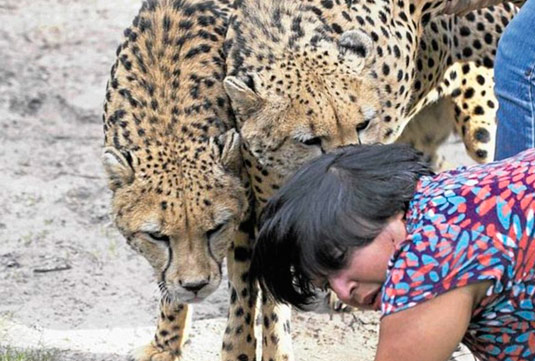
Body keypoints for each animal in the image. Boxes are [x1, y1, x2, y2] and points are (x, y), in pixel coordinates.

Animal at [101, 1, 262, 358]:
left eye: (215, 228)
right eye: (157, 236)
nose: (196, 285)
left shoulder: (247, 218)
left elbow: (245, 295)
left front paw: (239, 350)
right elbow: (167, 281)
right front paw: (166, 343)